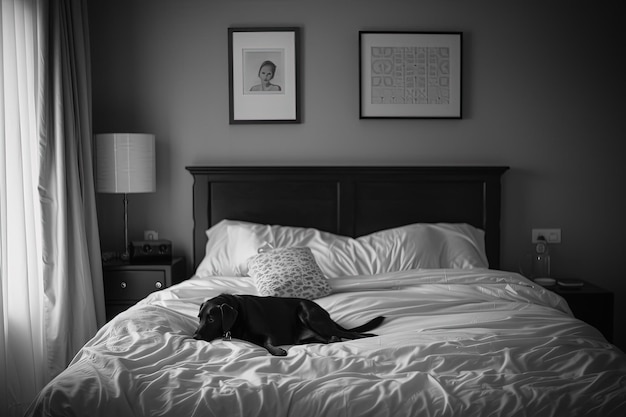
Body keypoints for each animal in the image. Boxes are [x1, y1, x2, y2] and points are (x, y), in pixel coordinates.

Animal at [193, 292, 382, 354]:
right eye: (199, 317)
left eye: (211, 319)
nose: (194, 337)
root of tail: (325, 313)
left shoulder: (267, 334)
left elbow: (267, 344)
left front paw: (277, 351)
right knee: (333, 338)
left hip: (308, 314)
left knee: (349, 333)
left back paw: (366, 335)